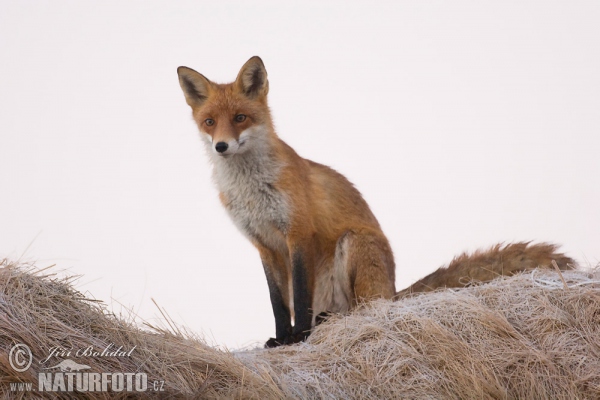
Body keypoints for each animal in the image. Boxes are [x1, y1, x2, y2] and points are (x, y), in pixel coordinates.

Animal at [176, 55, 576, 346]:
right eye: (210, 121)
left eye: (240, 118)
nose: (221, 146)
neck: (252, 188)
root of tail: (395, 291)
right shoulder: (265, 246)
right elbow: (278, 304)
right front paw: (280, 338)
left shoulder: (298, 235)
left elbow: (300, 300)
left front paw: (299, 338)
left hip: (354, 245)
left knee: (365, 309)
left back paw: (331, 321)